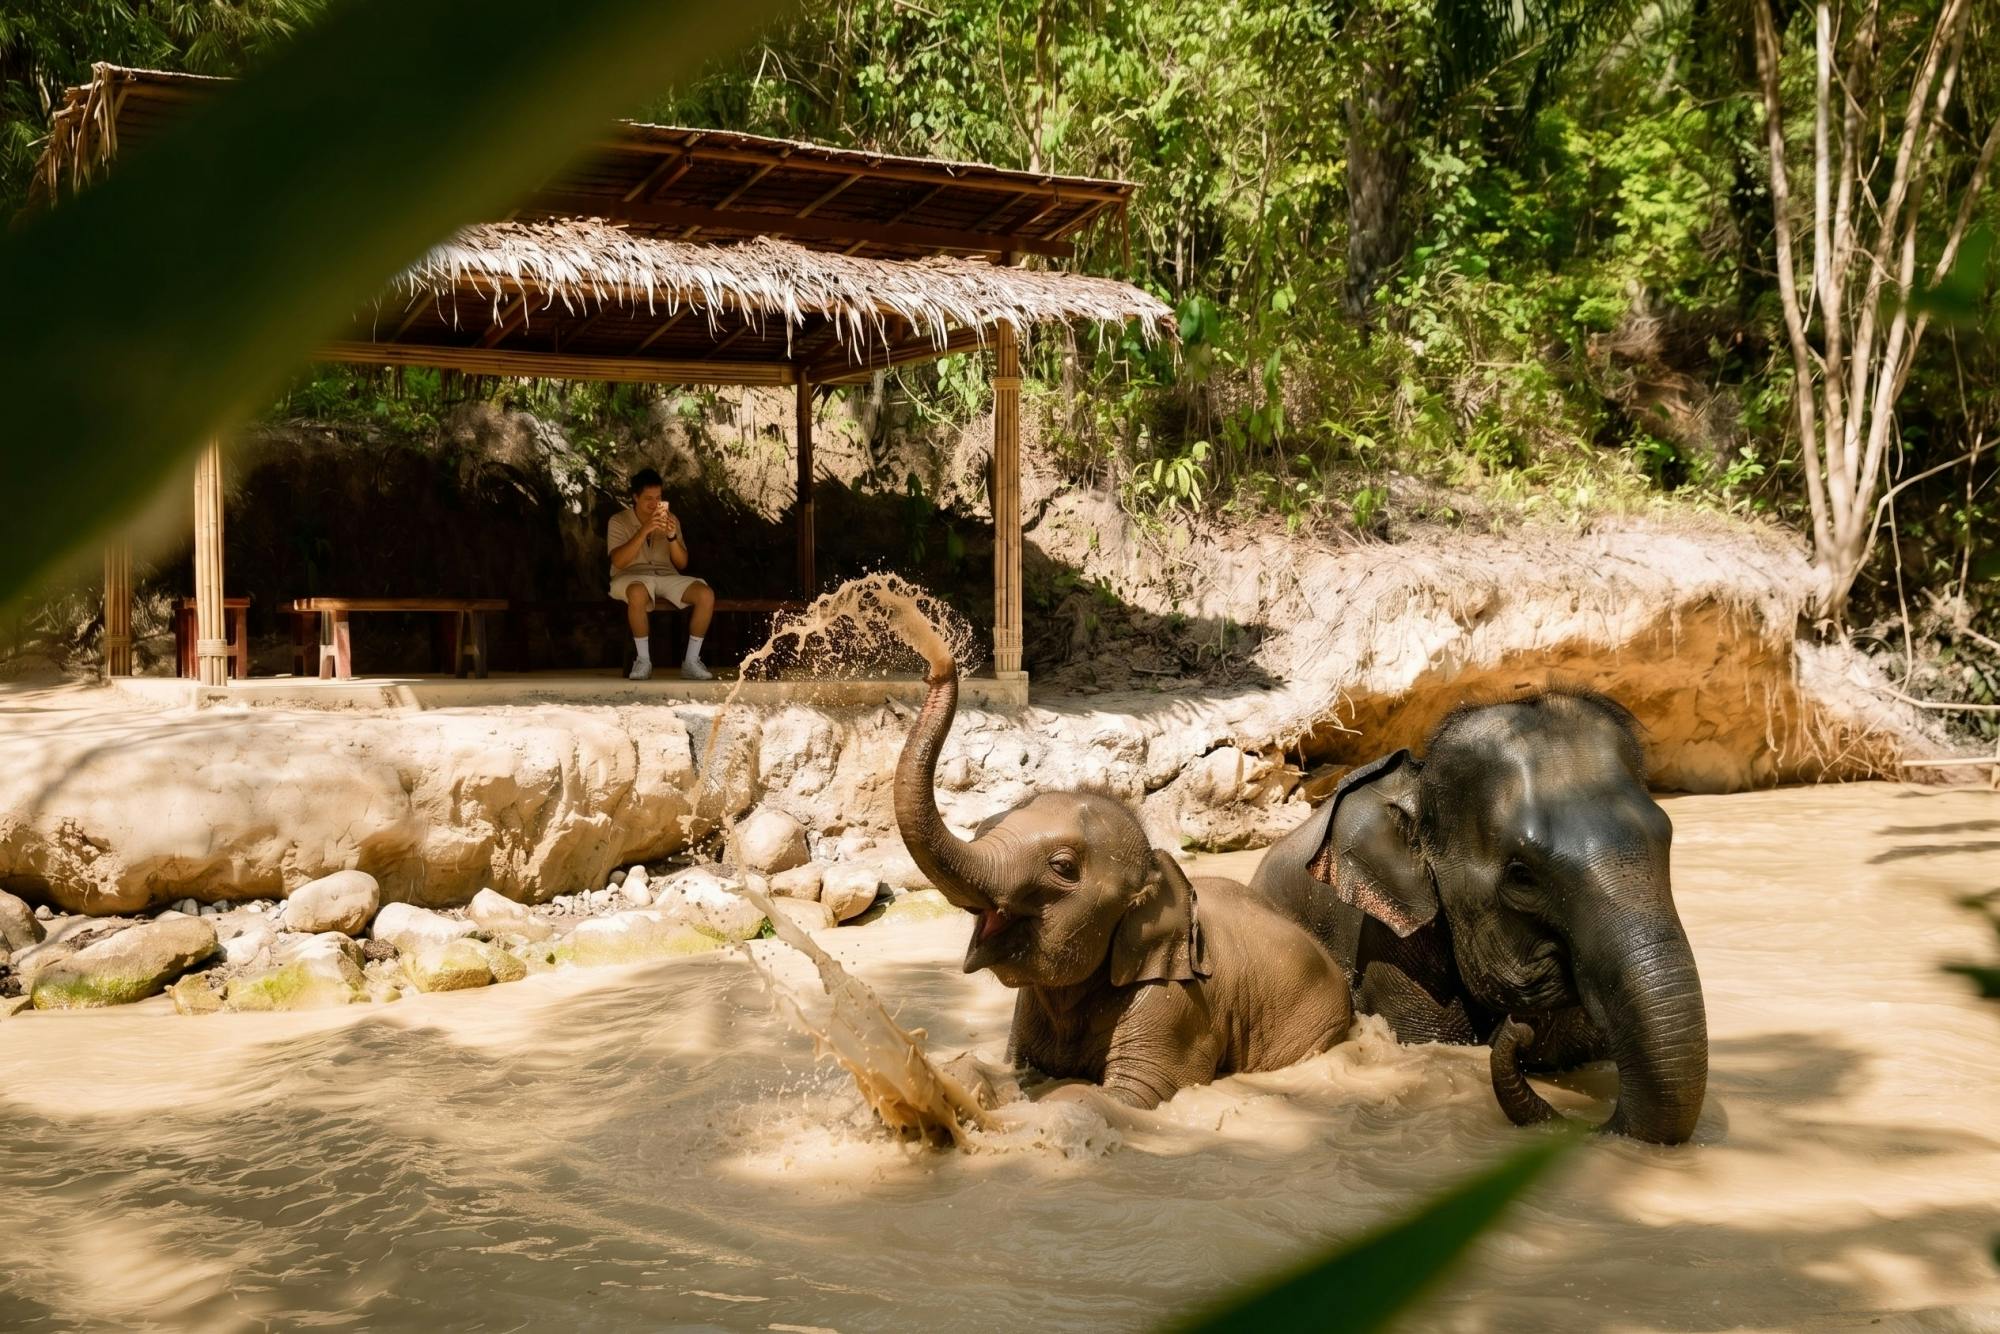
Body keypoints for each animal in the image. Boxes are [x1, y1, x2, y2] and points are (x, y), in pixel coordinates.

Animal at [896, 651, 1353, 1110]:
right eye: (983, 827)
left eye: (1063, 868)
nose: (937, 661)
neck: (1159, 874)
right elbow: (1019, 1067)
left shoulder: (1178, 1004)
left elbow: (1126, 1096)